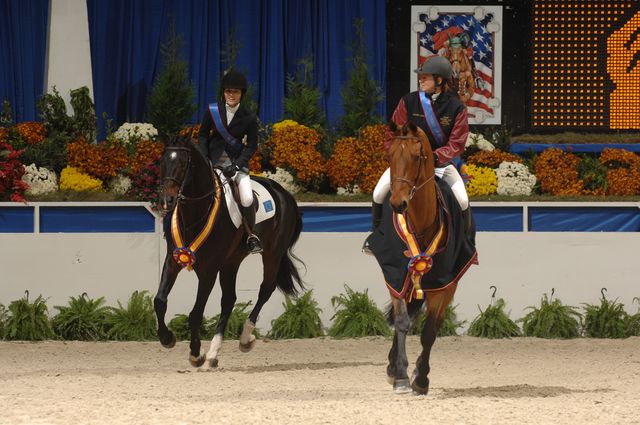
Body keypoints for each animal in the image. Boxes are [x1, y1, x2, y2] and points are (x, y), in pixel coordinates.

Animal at [368, 121, 478, 394]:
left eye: (417, 157)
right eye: (389, 155)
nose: (398, 203)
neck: (421, 223)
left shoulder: (445, 282)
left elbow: (429, 331)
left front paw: (420, 378)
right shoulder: (396, 275)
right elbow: (402, 322)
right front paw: (400, 376)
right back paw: (392, 367)